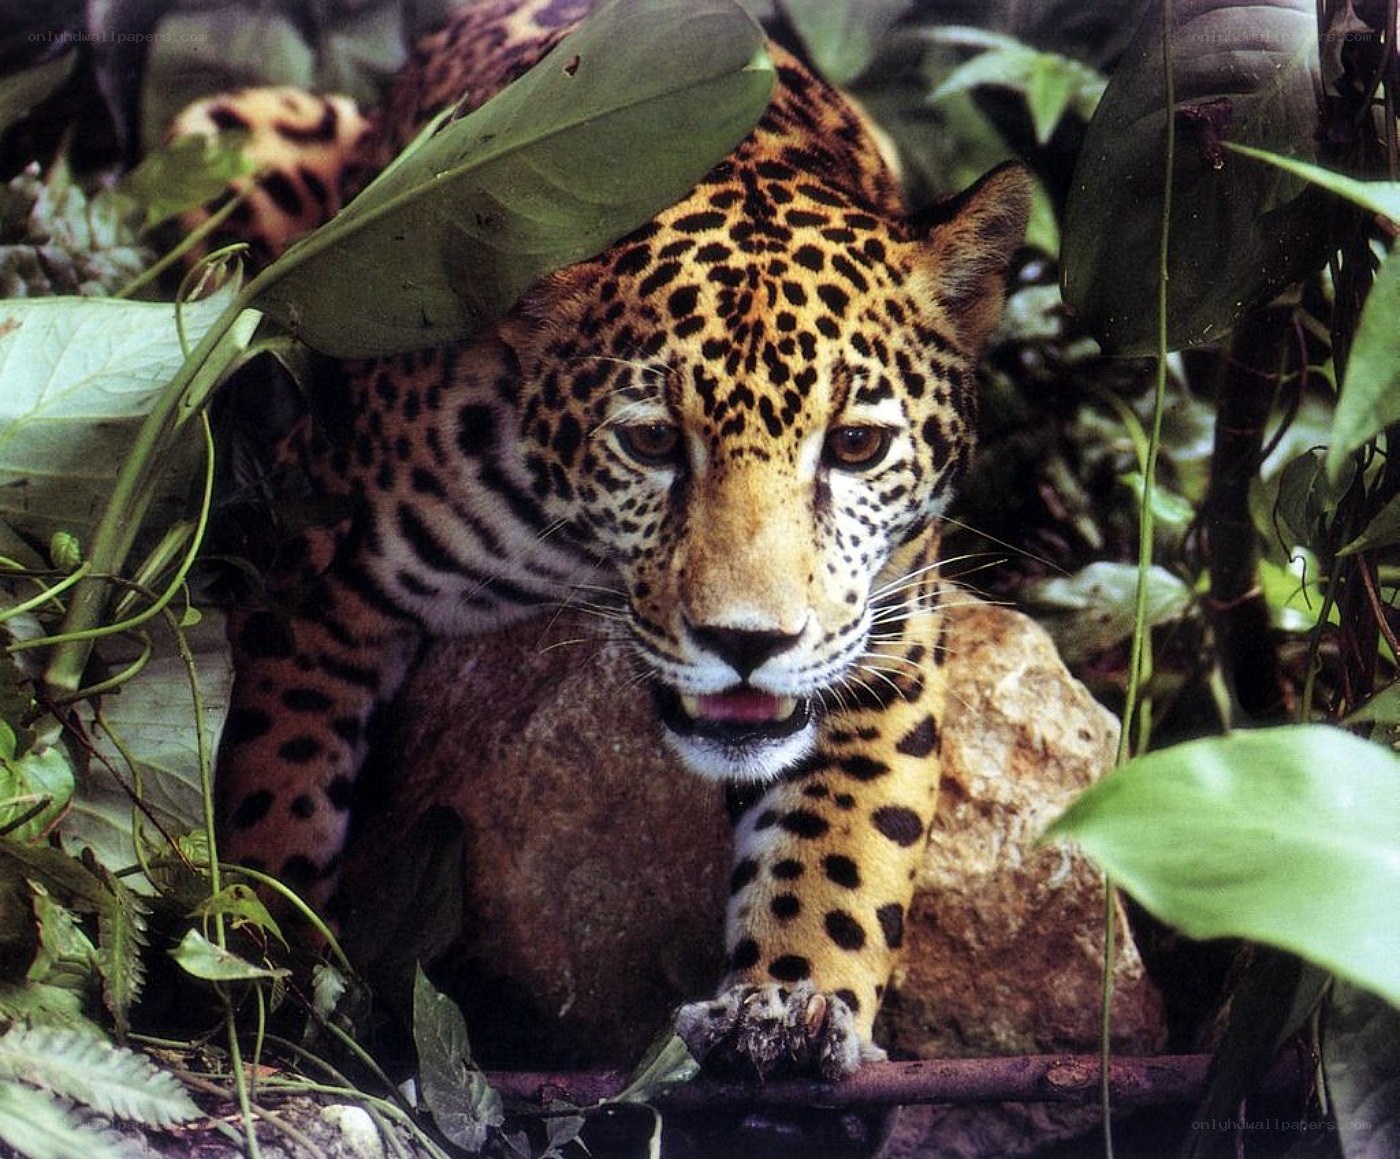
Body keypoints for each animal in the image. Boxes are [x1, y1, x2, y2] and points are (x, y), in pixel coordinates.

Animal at [175, 0, 1031, 1079]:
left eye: (855, 444)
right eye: (652, 441)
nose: (747, 643)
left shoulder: (885, 631)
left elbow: (846, 835)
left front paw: (790, 1004)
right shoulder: (310, 561)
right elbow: (273, 784)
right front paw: (262, 968)